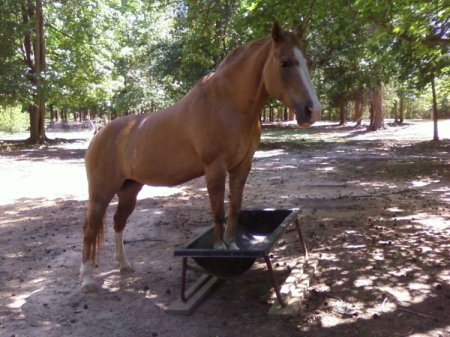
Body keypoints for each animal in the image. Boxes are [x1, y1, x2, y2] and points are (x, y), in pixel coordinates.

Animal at [80, 22, 320, 290]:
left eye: (307, 61)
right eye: (284, 63)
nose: (313, 111)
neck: (226, 106)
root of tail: (99, 135)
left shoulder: (242, 167)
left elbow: (234, 207)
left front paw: (233, 246)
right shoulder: (215, 168)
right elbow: (217, 211)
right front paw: (219, 248)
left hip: (129, 190)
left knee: (118, 222)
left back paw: (123, 265)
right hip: (101, 192)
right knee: (90, 229)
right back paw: (87, 278)